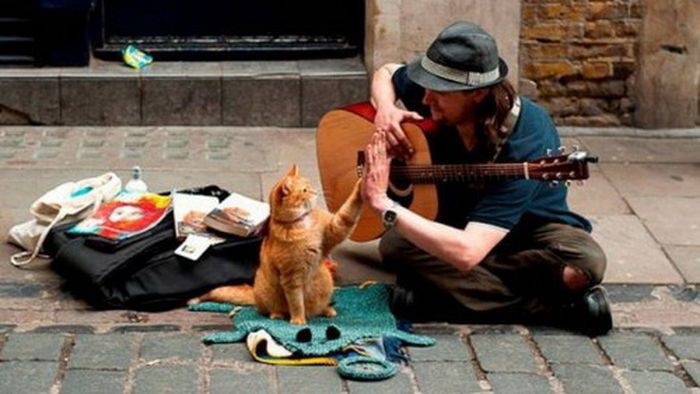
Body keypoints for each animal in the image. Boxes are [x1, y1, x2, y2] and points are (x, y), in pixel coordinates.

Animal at [191, 165, 366, 324]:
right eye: (305, 190)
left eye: (309, 185)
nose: (316, 192)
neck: (303, 222)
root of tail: (254, 293)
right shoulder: (291, 278)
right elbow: (296, 303)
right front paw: (298, 320)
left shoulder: (336, 228)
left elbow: (349, 210)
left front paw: (362, 183)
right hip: (269, 295)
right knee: (271, 309)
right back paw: (278, 315)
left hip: (326, 281)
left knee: (318, 307)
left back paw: (326, 310)